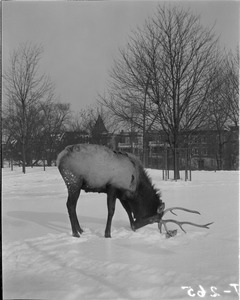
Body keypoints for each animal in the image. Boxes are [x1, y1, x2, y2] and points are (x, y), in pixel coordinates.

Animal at [56, 144, 212, 238]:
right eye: (153, 219)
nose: (137, 225)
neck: (136, 186)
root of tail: (59, 157)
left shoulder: (123, 193)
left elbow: (128, 210)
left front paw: (132, 227)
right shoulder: (112, 187)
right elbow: (111, 211)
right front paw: (108, 234)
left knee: (72, 206)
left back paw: (80, 230)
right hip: (73, 181)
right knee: (70, 205)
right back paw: (76, 233)